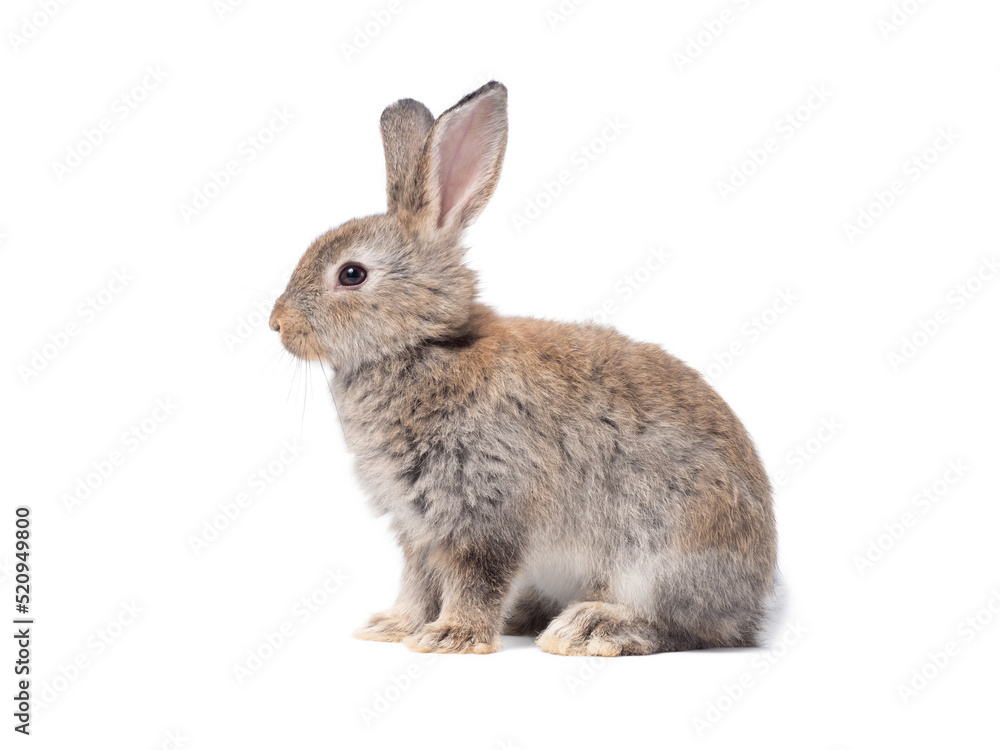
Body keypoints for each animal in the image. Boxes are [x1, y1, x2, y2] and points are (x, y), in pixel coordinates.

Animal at [269, 82, 777, 656]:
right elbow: (418, 580)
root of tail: (752, 603)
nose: (276, 322)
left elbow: (476, 576)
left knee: (683, 626)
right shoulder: (416, 525)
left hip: (663, 555)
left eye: (351, 274)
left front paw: (450, 637)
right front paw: (393, 627)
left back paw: (590, 628)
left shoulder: (487, 507)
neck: (425, 345)